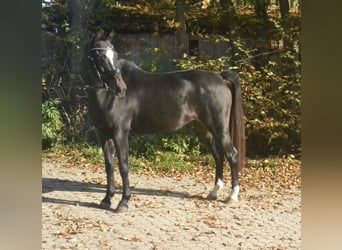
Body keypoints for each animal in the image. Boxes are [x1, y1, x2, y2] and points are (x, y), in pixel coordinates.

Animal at [85, 30, 246, 212]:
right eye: (99, 55)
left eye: (115, 55)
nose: (120, 88)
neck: (107, 95)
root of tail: (219, 77)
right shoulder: (103, 134)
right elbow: (109, 166)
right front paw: (107, 199)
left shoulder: (120, 134)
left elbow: (124, 166)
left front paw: (123, 202)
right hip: (205, 129)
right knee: (218, 156)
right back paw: (214, 192)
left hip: (219, 128)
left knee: (232, 154)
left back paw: (232, 196)